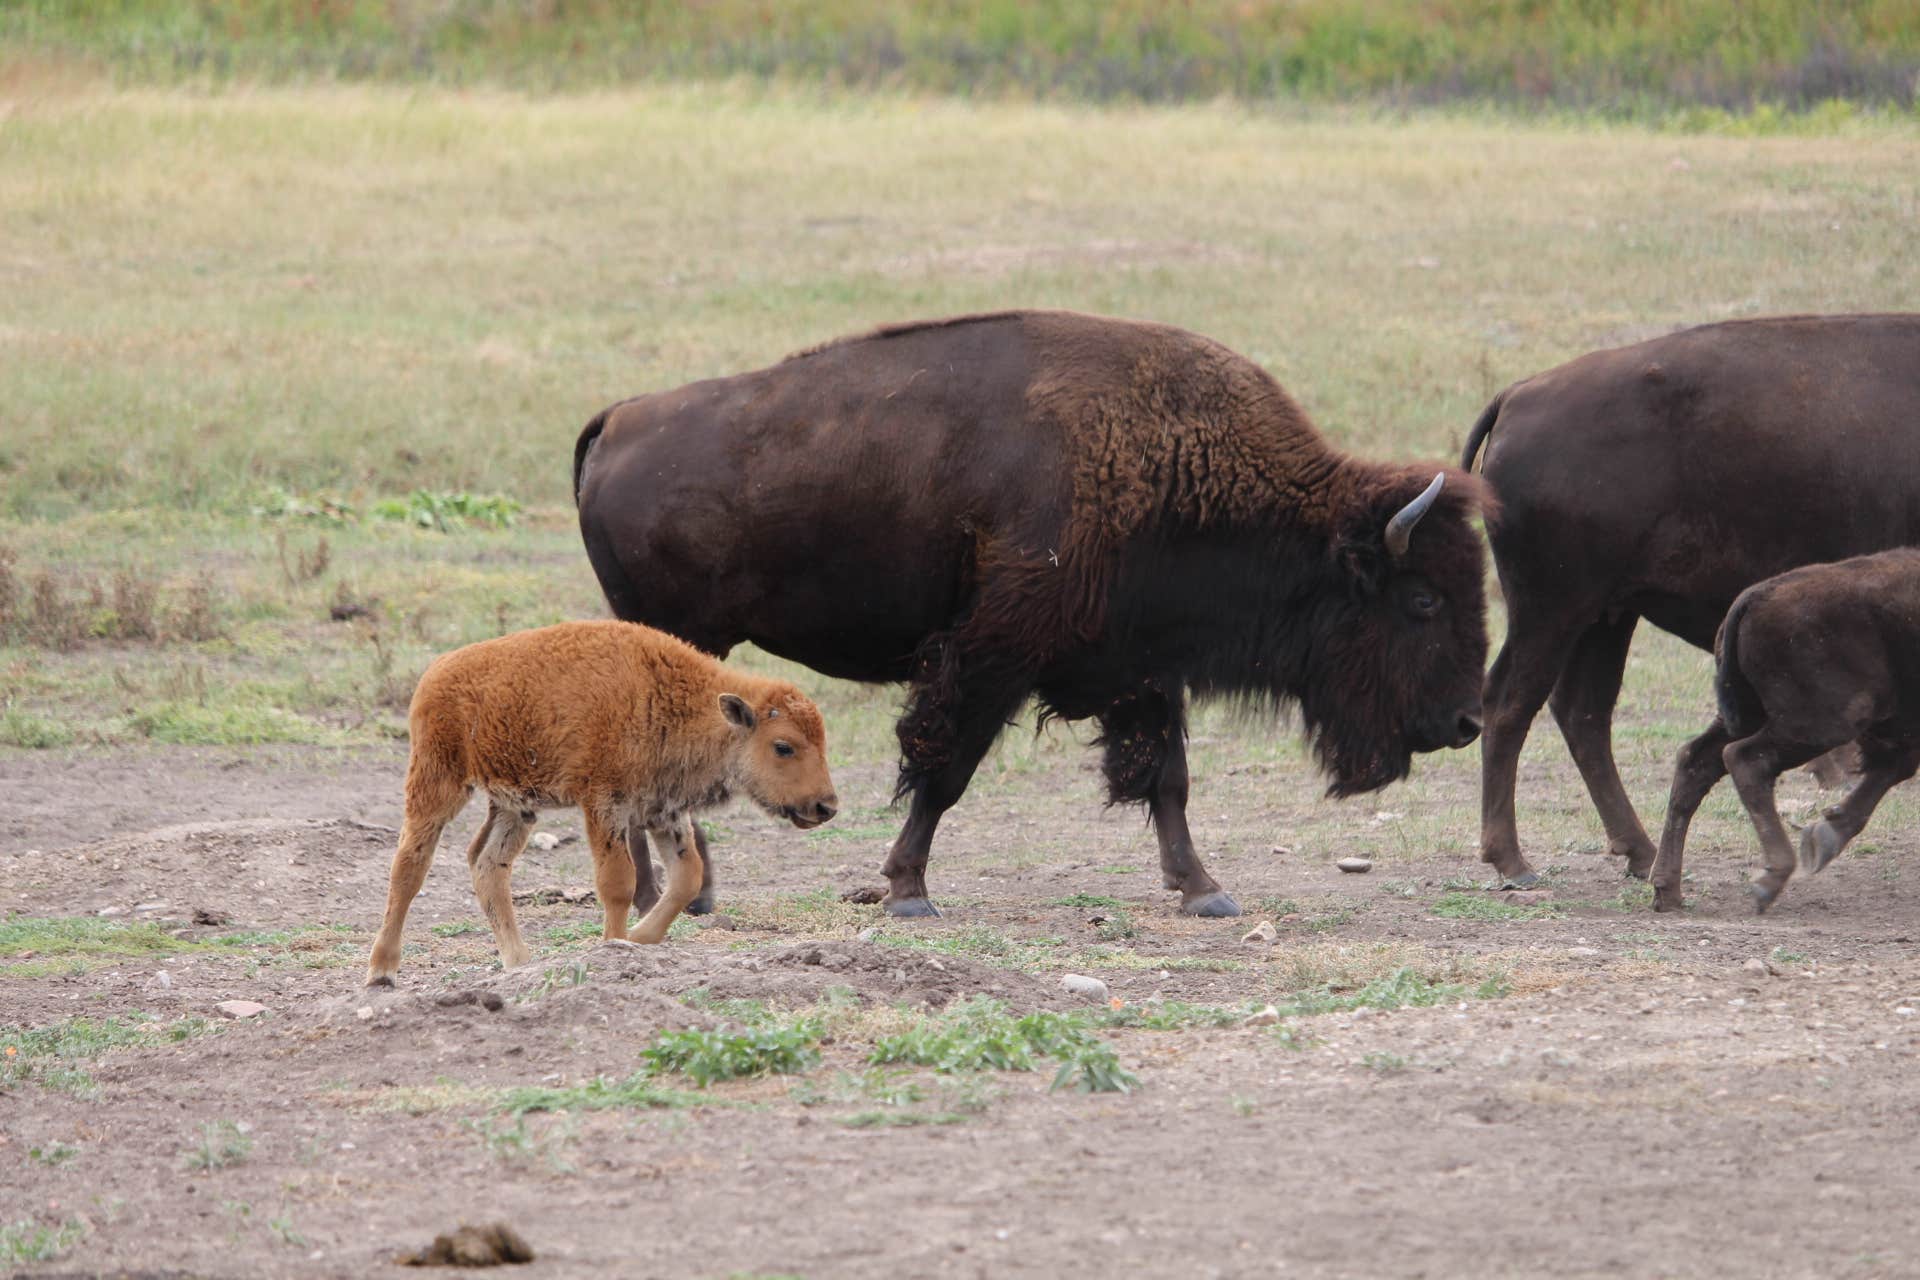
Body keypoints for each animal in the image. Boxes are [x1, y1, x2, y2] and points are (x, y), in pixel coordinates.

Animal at [362, 621, 837, 990]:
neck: (676, 699)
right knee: (409, 866)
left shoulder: (664, 811)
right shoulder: (605, 805)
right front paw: (613, 946)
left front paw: (639, 939)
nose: (826, 806)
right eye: (783, 746)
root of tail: (434, 673)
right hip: (438, 782)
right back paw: (382, 971)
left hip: (516, 807)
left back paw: (519, 962)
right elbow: (618, 882)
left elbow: (688, 876)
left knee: (487, 864)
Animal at [576, 307, 1489, 921]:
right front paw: (908, 893)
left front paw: (1204, 891)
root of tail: (621, 418)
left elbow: (1167, 779)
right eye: (1422, 599)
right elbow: (945, 771)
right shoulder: (993, 657)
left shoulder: (1141, 667)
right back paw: (673, 896)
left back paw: (678, 895)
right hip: (684, 639)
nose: (1467, 721)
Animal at [1643, 545, 1920, 917]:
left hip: (1753, 717)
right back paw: (1771, 878)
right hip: (1823, 722)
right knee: (1745, 759)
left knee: (1696, 761)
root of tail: (1754, 596)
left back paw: (1668, 890)